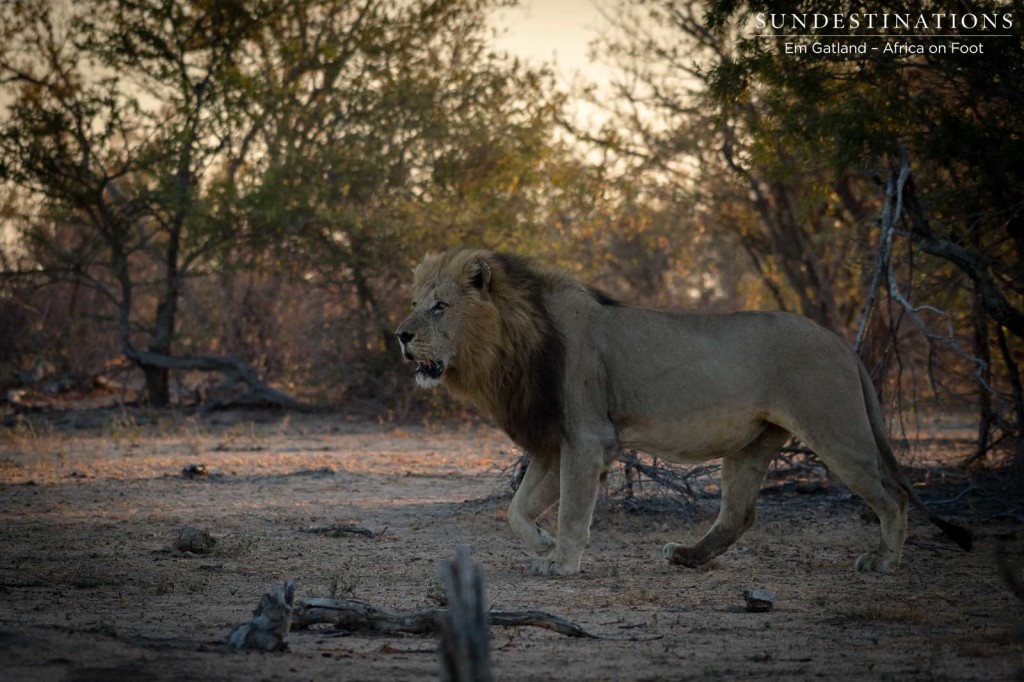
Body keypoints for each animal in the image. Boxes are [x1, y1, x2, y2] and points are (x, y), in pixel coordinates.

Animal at [395, 248, 970, 573]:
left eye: (440, 306)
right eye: (415, 302)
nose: (400, 335)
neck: (511, 343)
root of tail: (842, 345)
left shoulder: (587, 438)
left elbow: (572, 508)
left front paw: (560, 561)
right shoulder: (554, 442)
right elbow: (517, 509)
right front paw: (540, 543)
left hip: (837, 432)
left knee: (893, 497)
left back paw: (884, 562)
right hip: (752, 445)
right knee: (739, 515)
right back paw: (688, 557)